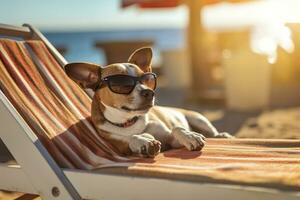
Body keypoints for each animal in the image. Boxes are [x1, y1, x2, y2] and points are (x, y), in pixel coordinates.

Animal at [63, 47, 232, 158]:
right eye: (121, 83)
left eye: (147, 79)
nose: (149, 92)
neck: (129, 122)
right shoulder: (120, 146)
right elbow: (131, 139)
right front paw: (142, 141)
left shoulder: (171, 140)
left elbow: (177, 128)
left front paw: (190, 136)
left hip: (198, 118)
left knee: (211, 132)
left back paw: (221, 135)